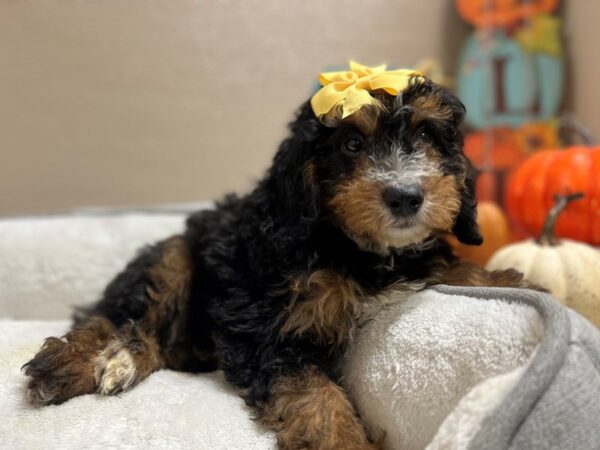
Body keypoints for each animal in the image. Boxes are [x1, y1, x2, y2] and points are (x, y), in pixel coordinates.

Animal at [25, 73, 528, 446]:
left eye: (426, 133)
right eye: (351, 144)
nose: (405, 196)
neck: (353, 249)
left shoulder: (414, 261)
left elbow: (451, 266)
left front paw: (515, 281)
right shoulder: (260, 324)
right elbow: (315, 393)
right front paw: (343, 440)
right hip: (172, 258)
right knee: (116, 316)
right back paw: (82, 362)